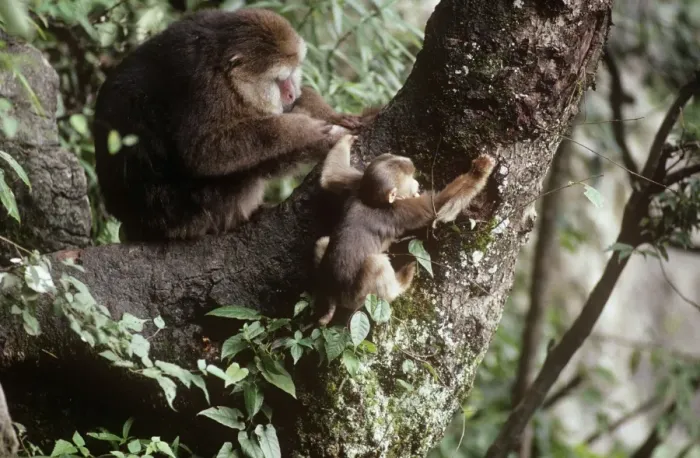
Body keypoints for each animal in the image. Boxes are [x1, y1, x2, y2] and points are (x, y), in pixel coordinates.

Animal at [93, 8, 368, 242]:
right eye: (280, 80)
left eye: (293, 73)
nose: (290, 93)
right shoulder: (208, 87)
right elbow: (204, 152)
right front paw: (305, 133)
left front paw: (330, 114)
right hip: (189, 212)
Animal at [312, 135, 496, 325]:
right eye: (411, 181)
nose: (417, 183)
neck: (371, 199)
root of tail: (334, 295)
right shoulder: (402, 210)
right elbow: (439, 206)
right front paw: (480, 170)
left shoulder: (357, 184)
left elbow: (331, 176)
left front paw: (347, 139)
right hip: (357, 297)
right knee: (376, 264)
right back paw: (400, 284)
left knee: (322, 241)